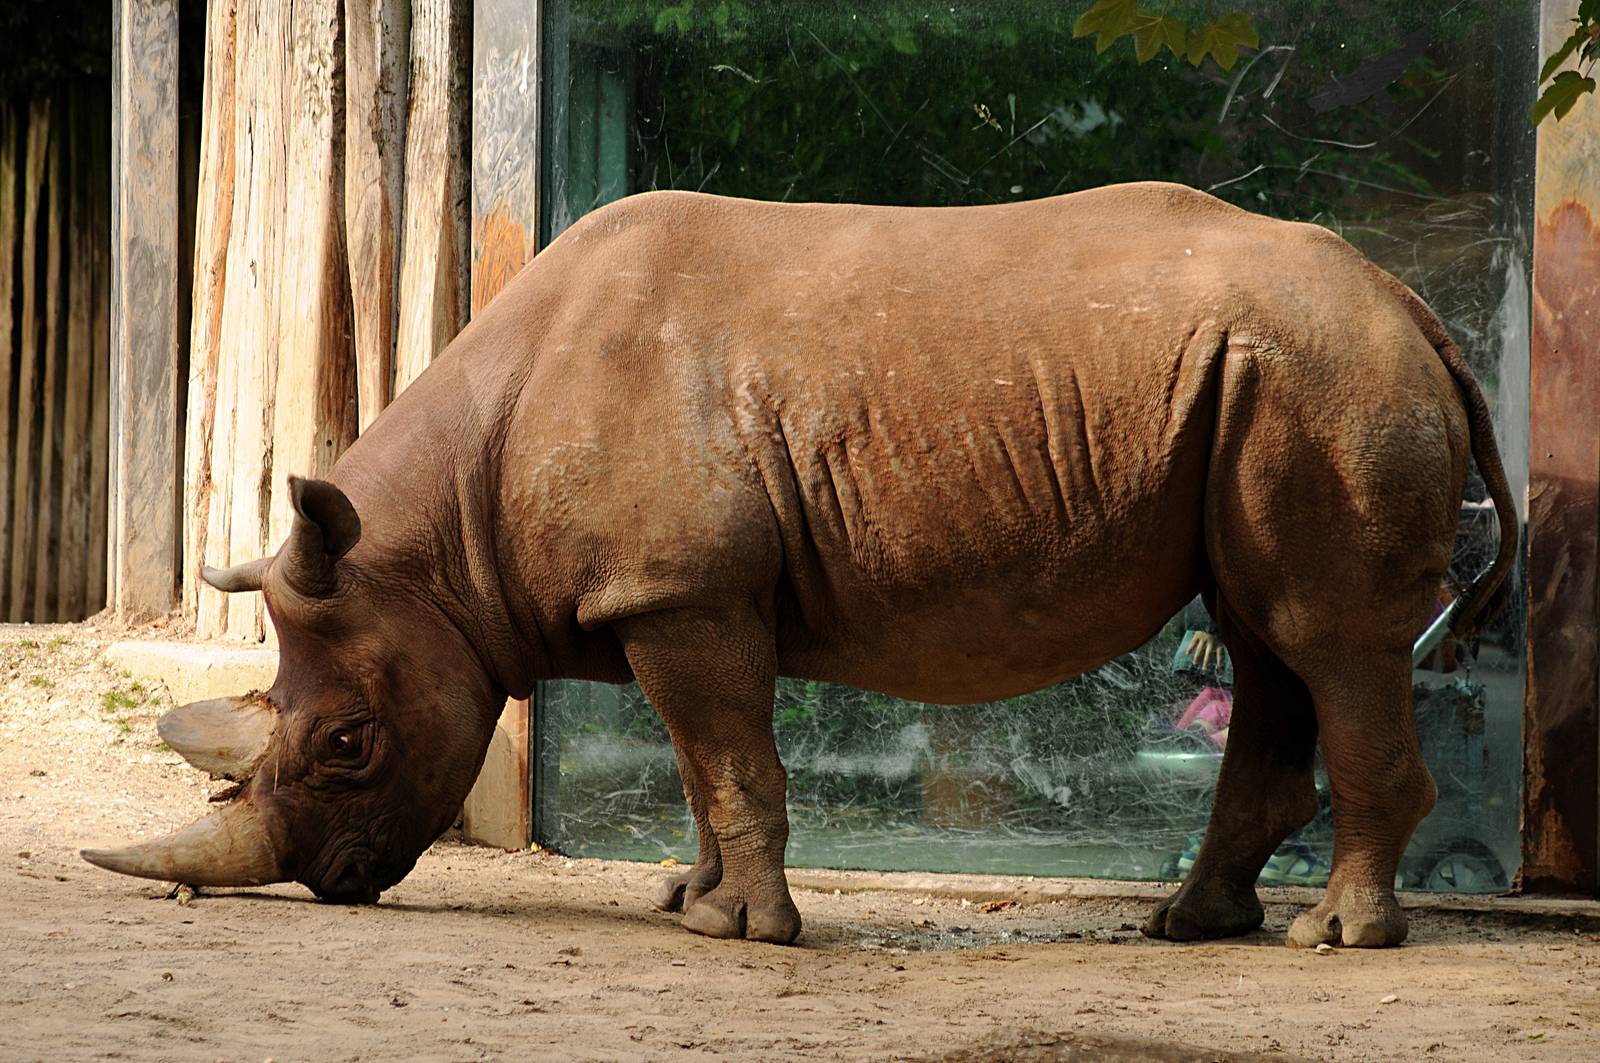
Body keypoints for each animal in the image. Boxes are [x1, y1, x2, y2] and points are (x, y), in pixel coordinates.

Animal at [83, 182, 1515, 949]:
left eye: (347, 744)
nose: (326, 883)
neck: (441, 547)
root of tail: (1413, 306)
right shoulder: (672, 597)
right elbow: (699, 759)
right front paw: (688, 900)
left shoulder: (682, 590)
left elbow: (731, 760)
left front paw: (740, 929)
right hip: (1279, 379)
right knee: (1267, 633)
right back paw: (1193, 924)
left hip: (1326, 380)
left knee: (1328, 635)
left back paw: (1335, 938)